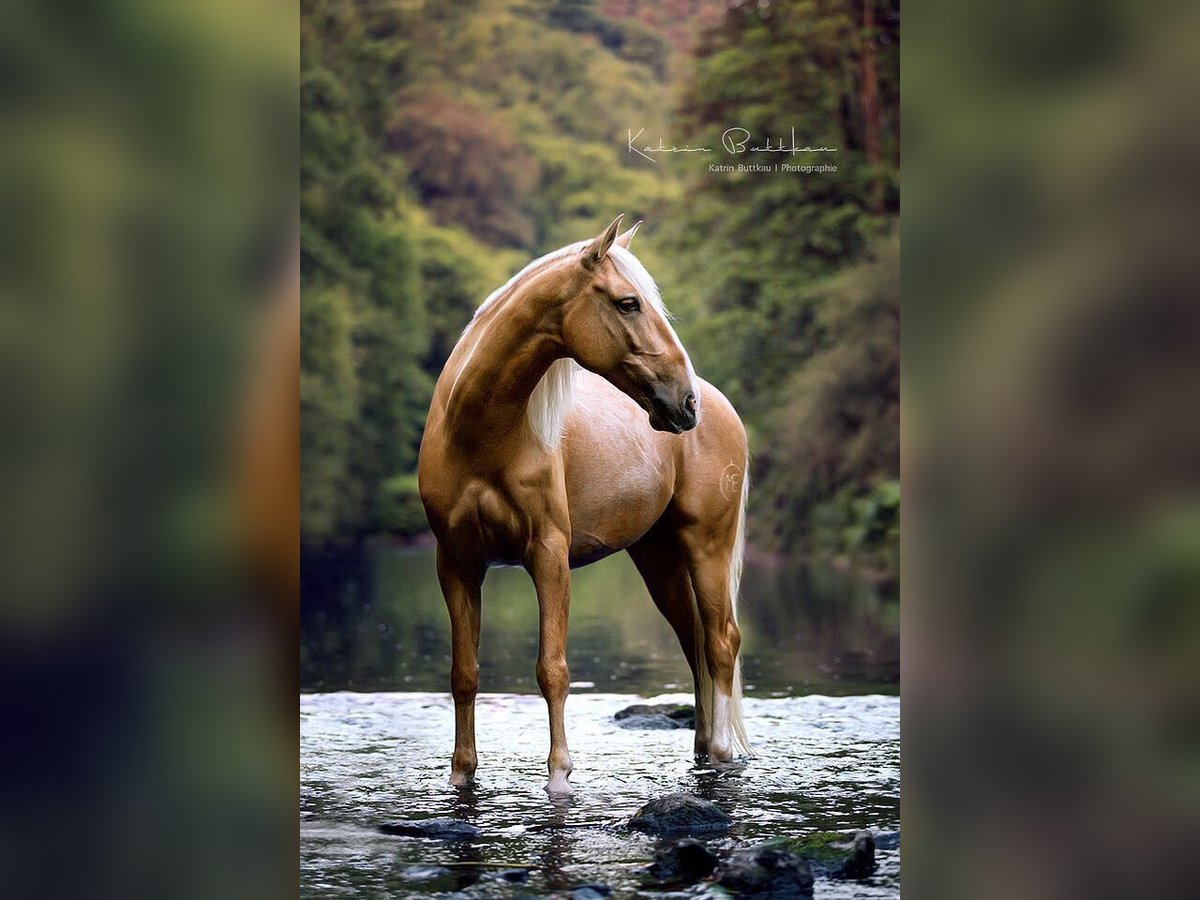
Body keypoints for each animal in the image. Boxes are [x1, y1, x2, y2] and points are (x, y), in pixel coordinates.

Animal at [420, 218, 748, 796]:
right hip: (658, 559)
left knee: (721, 641)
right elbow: (464, 673)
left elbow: (552, 669)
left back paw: (724, 752)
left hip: (706, 546)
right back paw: (704, 748)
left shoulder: (548, 555)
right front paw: (461, 772)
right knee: (694, 644)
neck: (478, 435)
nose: (685, 402)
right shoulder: (456, 563)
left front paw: (560, 776)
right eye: (628, 303)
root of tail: (721, 408)